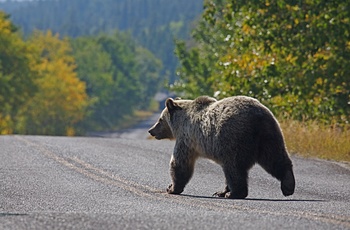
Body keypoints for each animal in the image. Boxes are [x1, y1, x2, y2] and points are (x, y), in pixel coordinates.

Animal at [148, 96, 296, 199]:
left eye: (160, 120)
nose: (151, 130)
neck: (180, 123)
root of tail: (258, 117)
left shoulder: (187, 139)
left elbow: (180, 163)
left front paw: (172, 188)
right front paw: (220, 191)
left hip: (233, 138)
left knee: (234, 168)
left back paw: (235, 193)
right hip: (269, 135)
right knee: (275, 158)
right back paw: (288, 186)